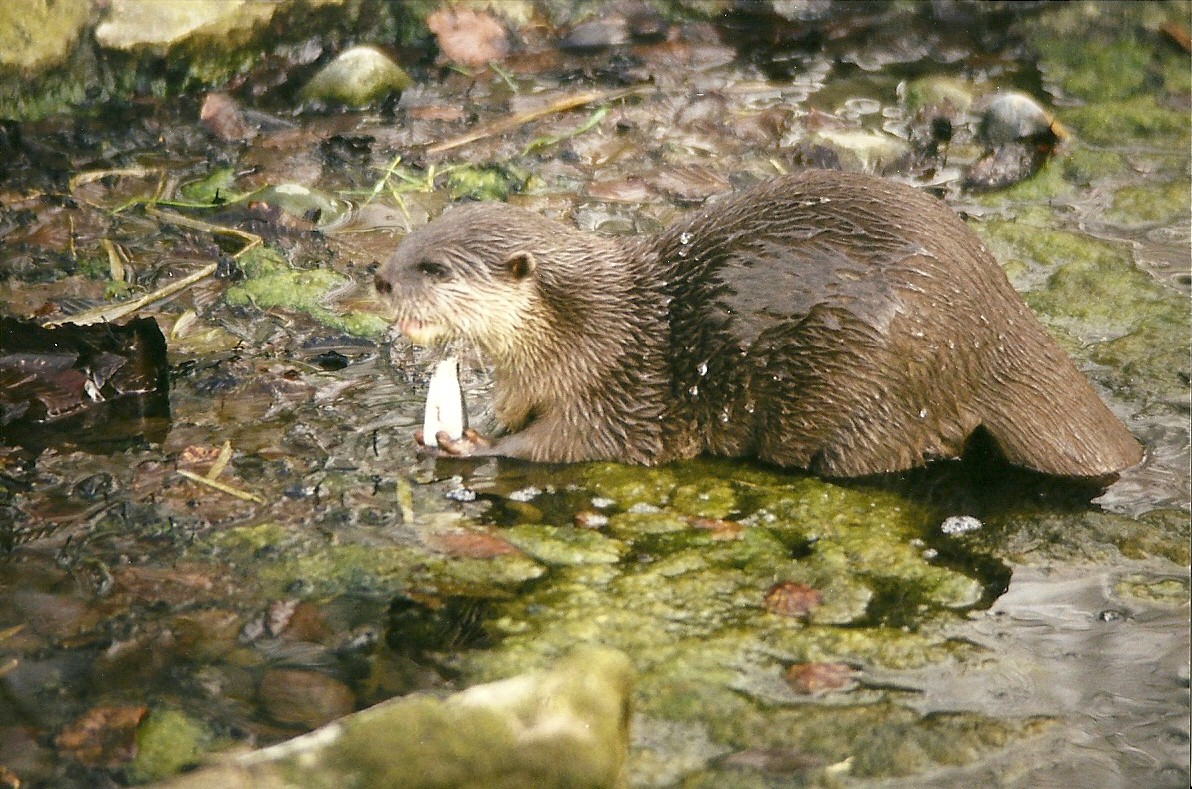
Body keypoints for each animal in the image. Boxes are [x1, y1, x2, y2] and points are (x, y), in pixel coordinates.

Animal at [374, 169, 1142, 478]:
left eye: (434, 268)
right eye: (408, 241)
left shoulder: (613, 391)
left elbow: (563, 445)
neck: (585, 329)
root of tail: (997, 323)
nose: (380, 277)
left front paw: (469, 445)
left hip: (883, 388)